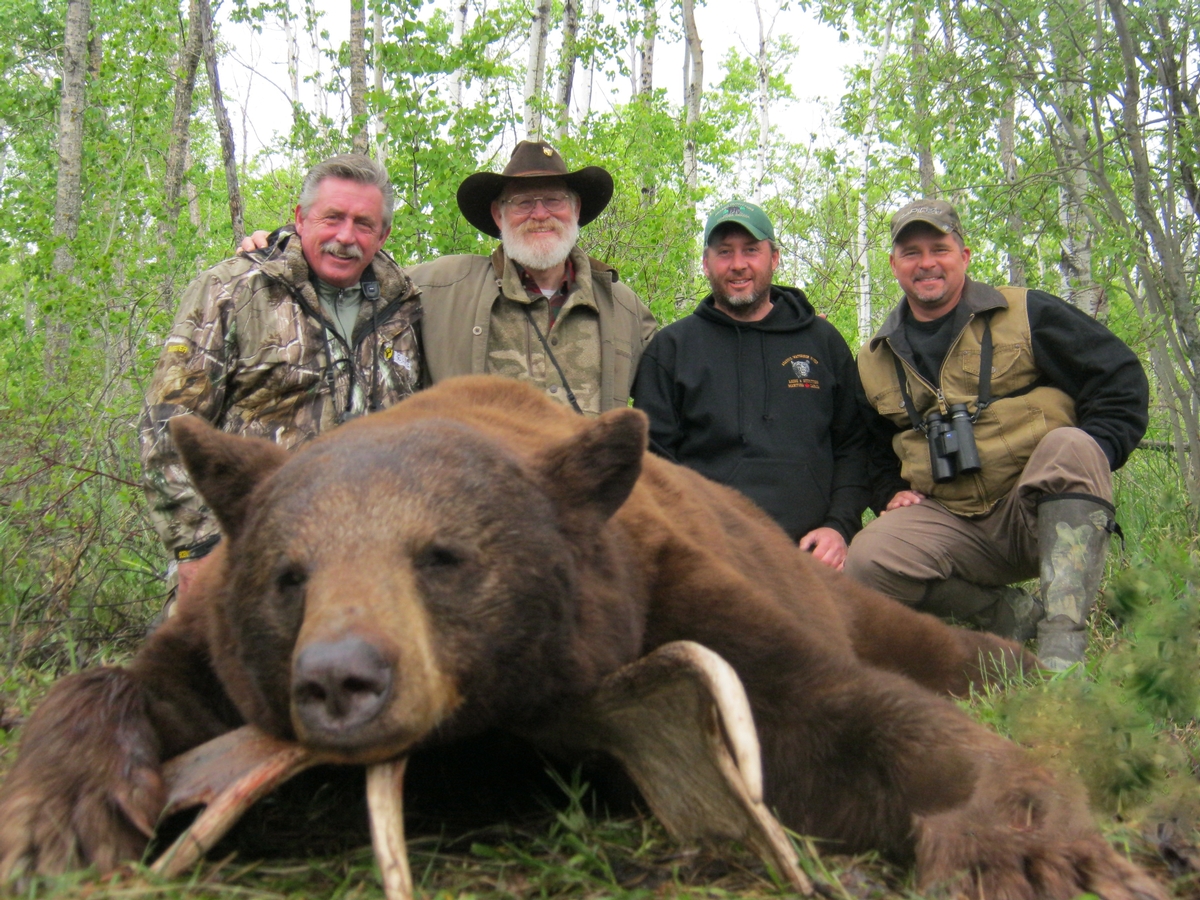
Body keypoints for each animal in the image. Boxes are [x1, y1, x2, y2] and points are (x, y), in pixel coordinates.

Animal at [0, 374, 1166, 900]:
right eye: (291, 576)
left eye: (441, 556)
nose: (338, 680)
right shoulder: (220, 653)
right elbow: (121, 683)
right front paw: (55, 816)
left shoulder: (664, 598)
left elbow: (844, 720)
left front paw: (1035, 851)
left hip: (848, 591)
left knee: (949, 647)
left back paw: (1048, 665)